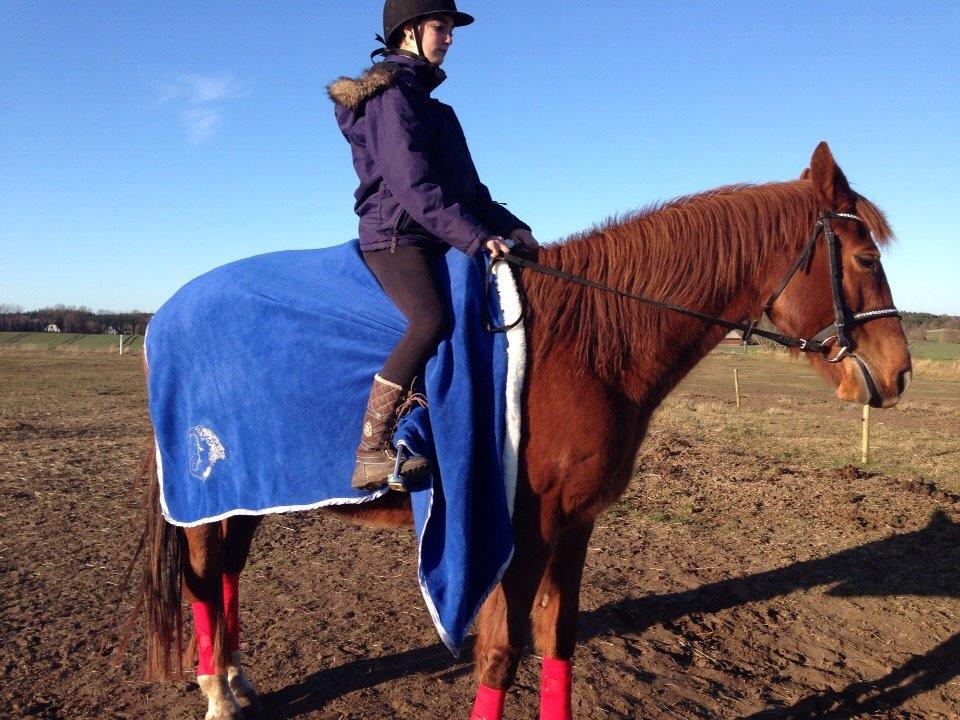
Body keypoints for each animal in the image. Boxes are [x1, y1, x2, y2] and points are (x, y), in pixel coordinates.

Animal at [133, 142, 908, 720]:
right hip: (206, 492)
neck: (589, 341)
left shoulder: (575, 522)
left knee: (226, 576)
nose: (899, 373)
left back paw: (236, 681)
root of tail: (167, 313)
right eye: (866, 259)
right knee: (203, 578)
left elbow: (558, 639)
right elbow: (502, 654)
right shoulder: (518, 529)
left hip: (242, 495)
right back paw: (215, 692)